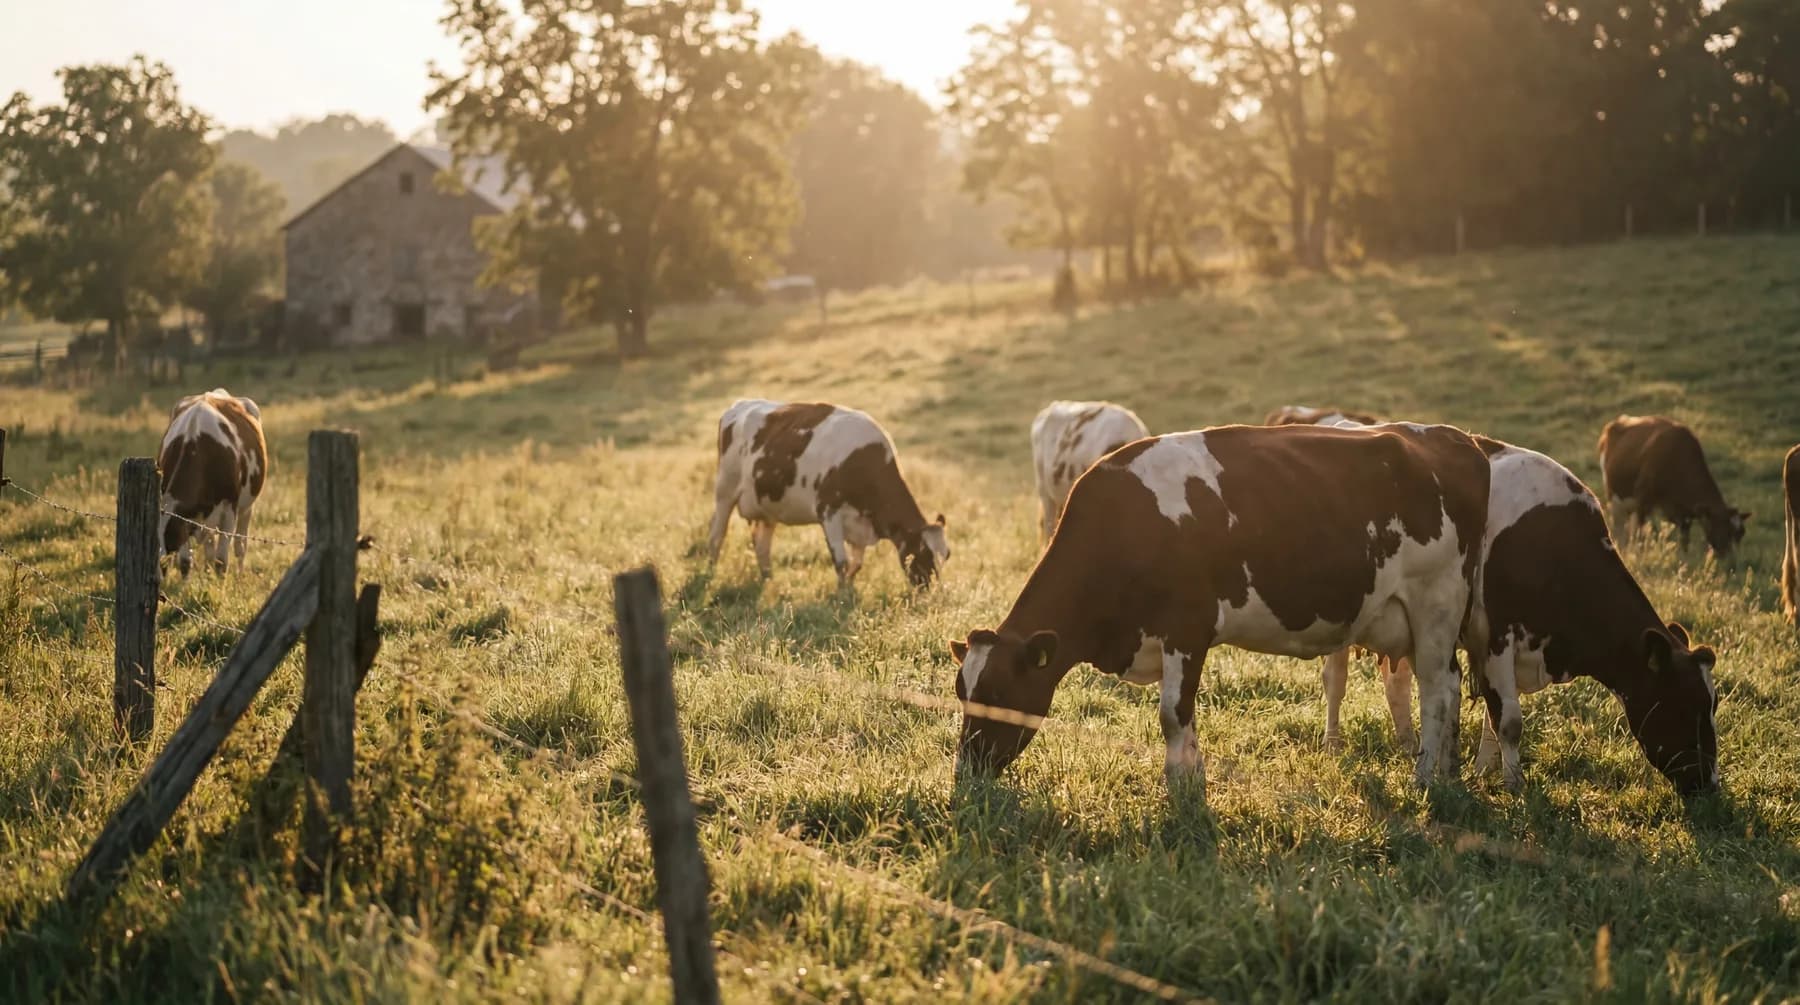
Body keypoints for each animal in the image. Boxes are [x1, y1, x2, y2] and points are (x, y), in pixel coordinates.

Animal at [158, 389, 268, 577]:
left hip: (247, 507)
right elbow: (186, 562)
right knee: (210, 546)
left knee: (240, 545)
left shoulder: (229, 508)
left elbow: (221, 562)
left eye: (170, 540)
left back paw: (239, 576)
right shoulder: (185, 517)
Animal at [708, 399, 949, 590]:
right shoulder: (829, 511)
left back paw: (768, 577)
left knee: (761, 542)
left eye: (946, 555)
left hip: (767, 504)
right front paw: (842, 596)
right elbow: (841, 561)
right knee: (717, 534)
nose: (931, 590)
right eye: (923, 552)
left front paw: (849, 588)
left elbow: (856, 564)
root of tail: (739, 405)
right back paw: (710, 573)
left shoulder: (860, 523)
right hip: (724, 490)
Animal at [949, 422, 1490, 792]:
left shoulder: (1186, 629)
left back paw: (1426, 777)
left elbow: (1172, 713)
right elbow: (1183, 715)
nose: (966, 770)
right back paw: (1447, 769)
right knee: (1451, 685)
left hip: (1436, 605)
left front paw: (1180, 786)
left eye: (997, 692)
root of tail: (1456, 438)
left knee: (1437, 690)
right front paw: (1194, 775)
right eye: (961, 692)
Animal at [1467, 438, 1720, 795]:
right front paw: (1514, 784)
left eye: (1714, 704)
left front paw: (1482, 773)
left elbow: (1493, 717)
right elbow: (1508, 721)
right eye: (1685, 704)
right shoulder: (1496, 635)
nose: (1709, 784)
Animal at [1598, 415, 1748, 558]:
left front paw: (1684, 558)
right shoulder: (1643, 500)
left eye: (1741, 533)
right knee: (1619, 527)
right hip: (1614, 497)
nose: (1732, 562)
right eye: (1724, 527)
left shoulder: (1684, 515)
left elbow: (1684, 541)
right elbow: (1640, 533)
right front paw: (1638, 553)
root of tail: (1618, 421)